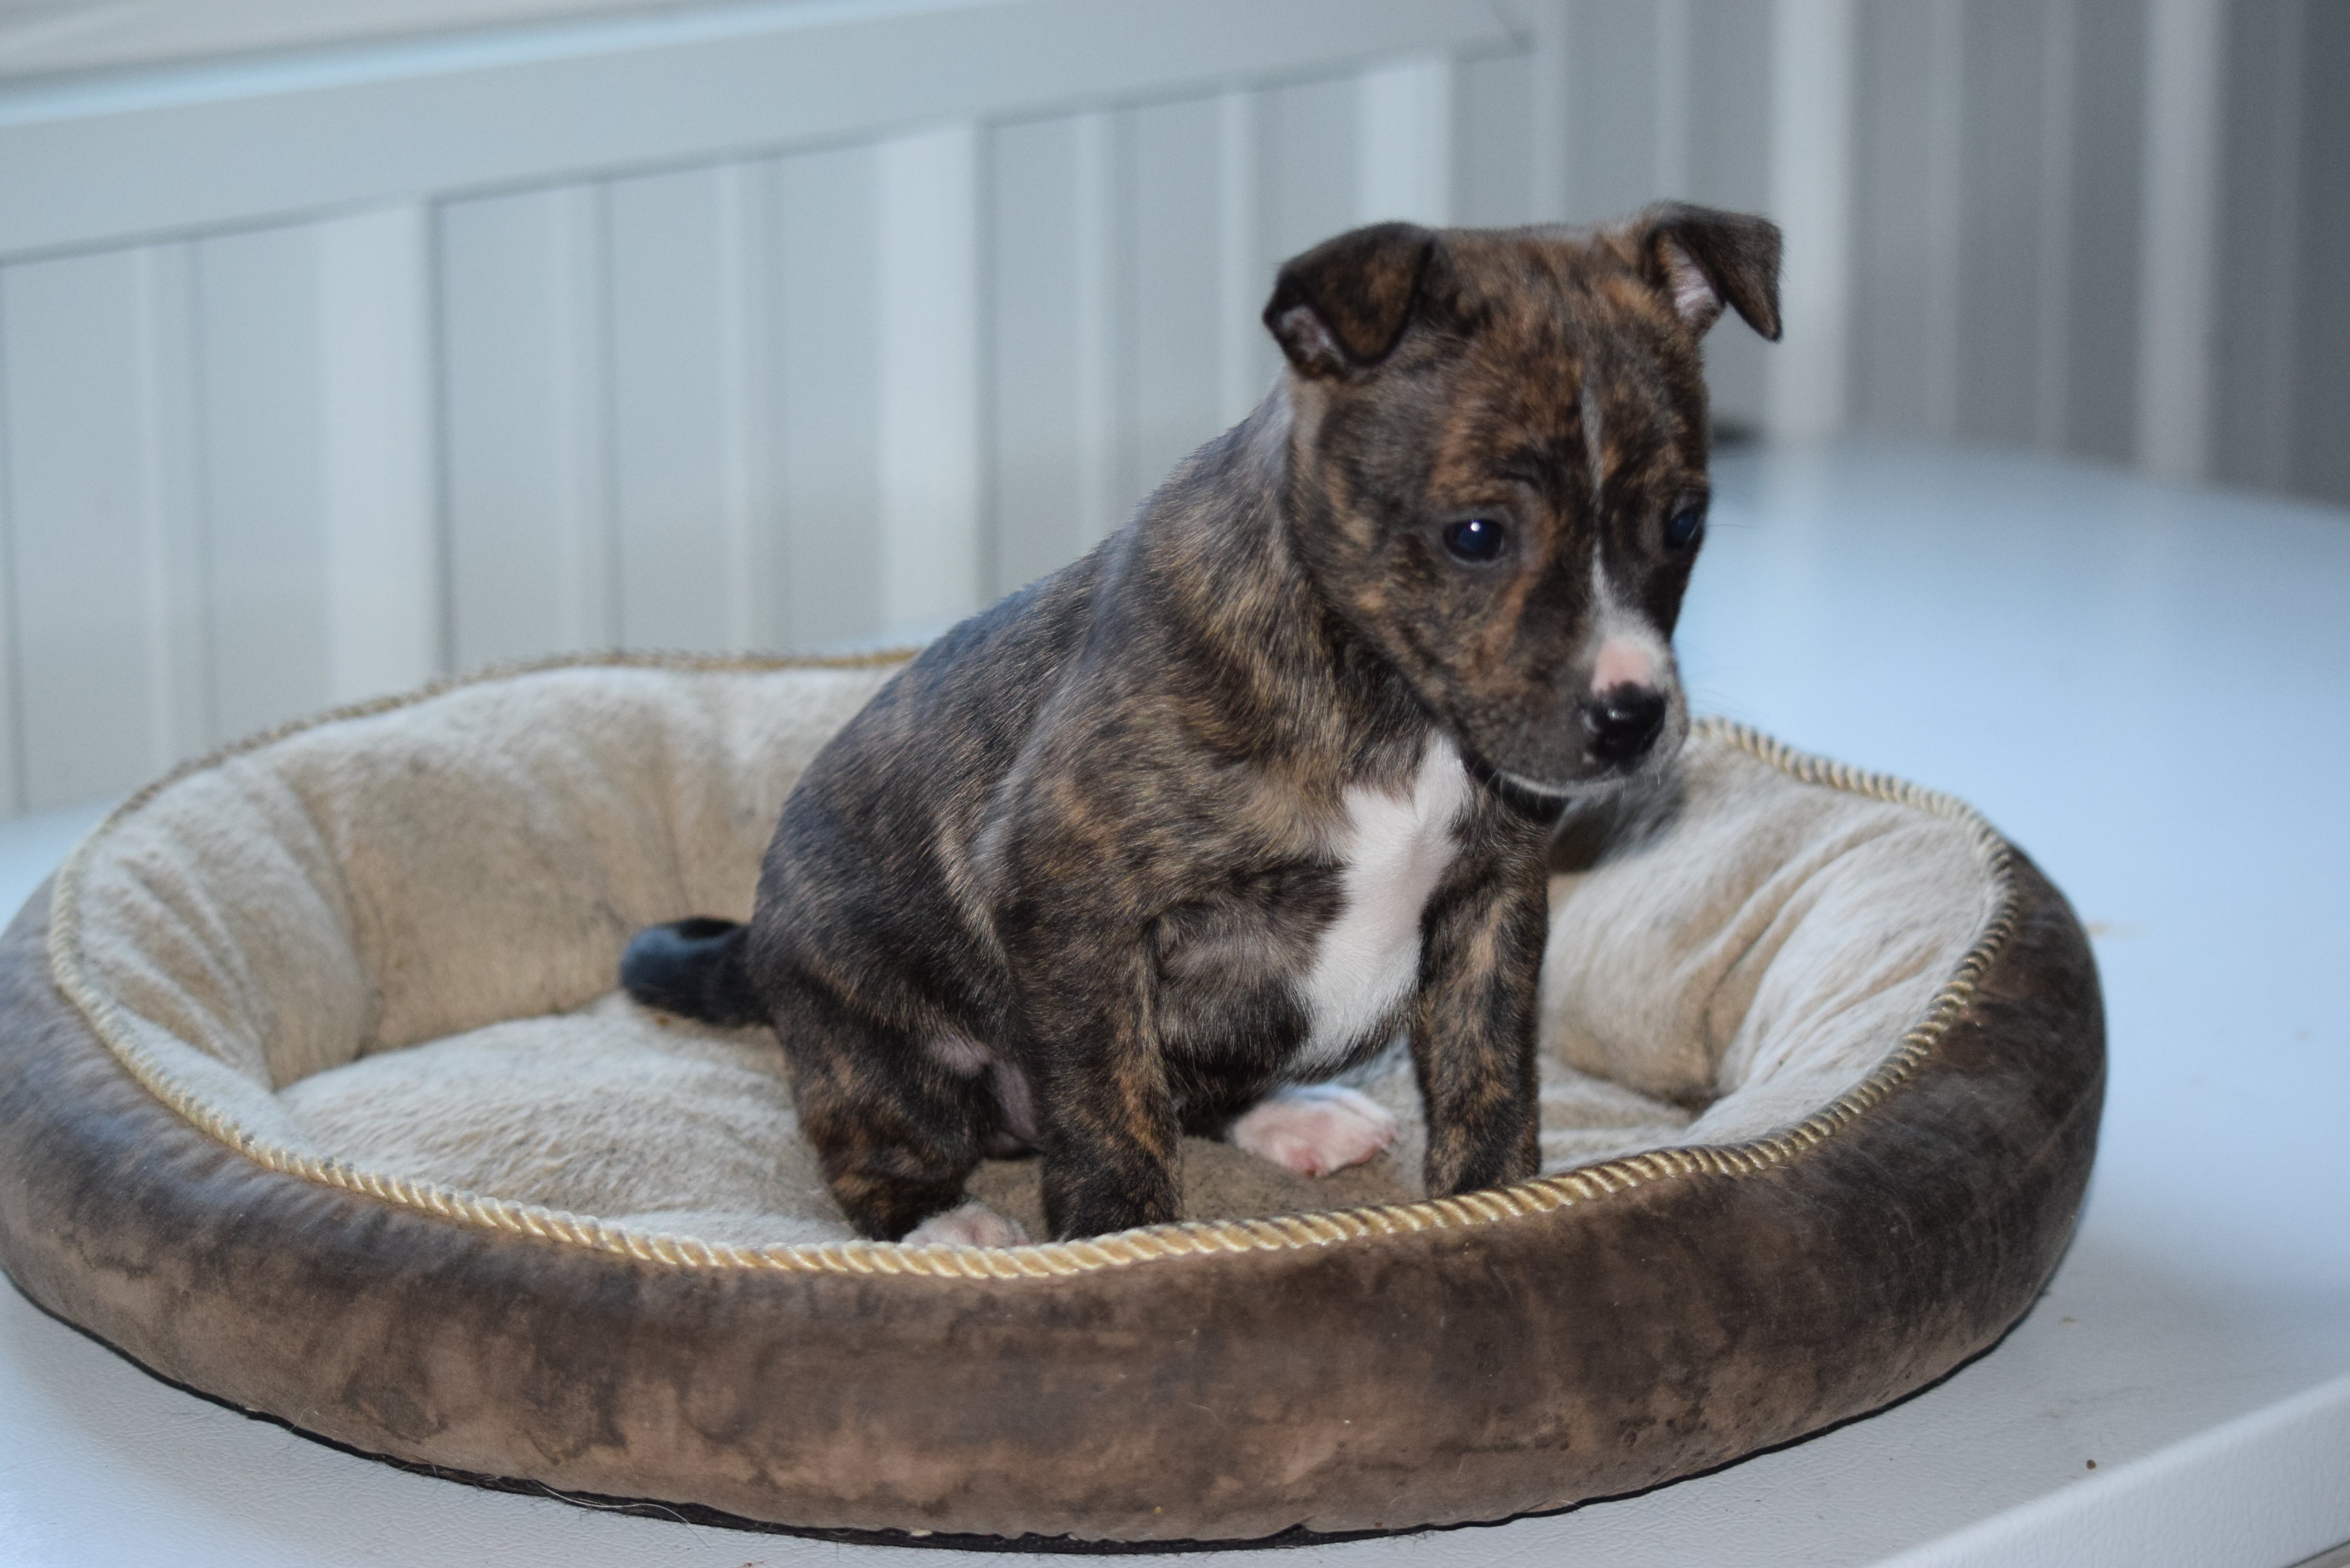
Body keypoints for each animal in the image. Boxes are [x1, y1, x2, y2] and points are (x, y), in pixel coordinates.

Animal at [625, 205, 1776, 1241]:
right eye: (1477, 534)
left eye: (1684, 522)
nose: (1631, 717)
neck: (1386, 699)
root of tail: (758, 941)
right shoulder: (1073, 902)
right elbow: (1110, 1114)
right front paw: (1121, 1250)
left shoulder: (1492, 904)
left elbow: (1489, 1088)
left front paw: (1494, 1213)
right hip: (883, 1054)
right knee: (877, 1147)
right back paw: (943, 1224)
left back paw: (1294, 1121)